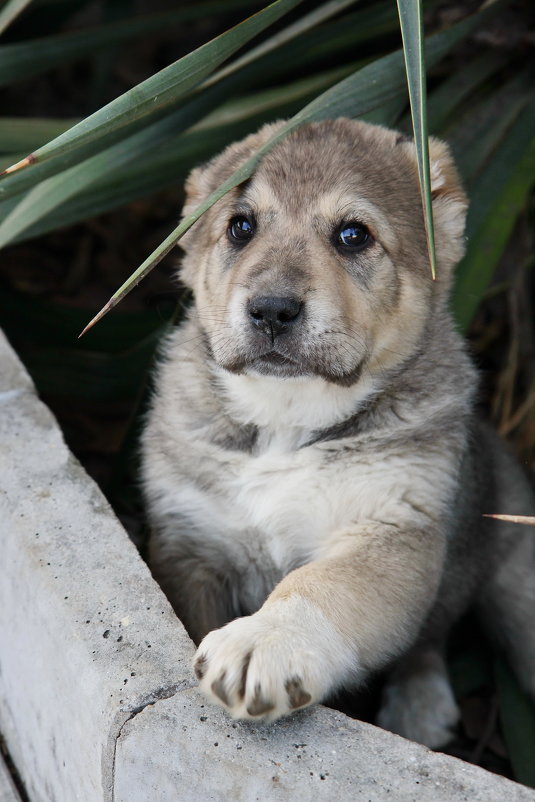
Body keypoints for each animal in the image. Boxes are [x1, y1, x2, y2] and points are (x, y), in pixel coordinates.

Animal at [140, 120, 532, 752]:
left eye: (353, 235)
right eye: (240, 227)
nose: (272, 309)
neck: (285, 420)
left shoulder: (391, 528)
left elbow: (321, 584)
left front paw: (268, 639)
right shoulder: (191, 544)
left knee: (430, 640)